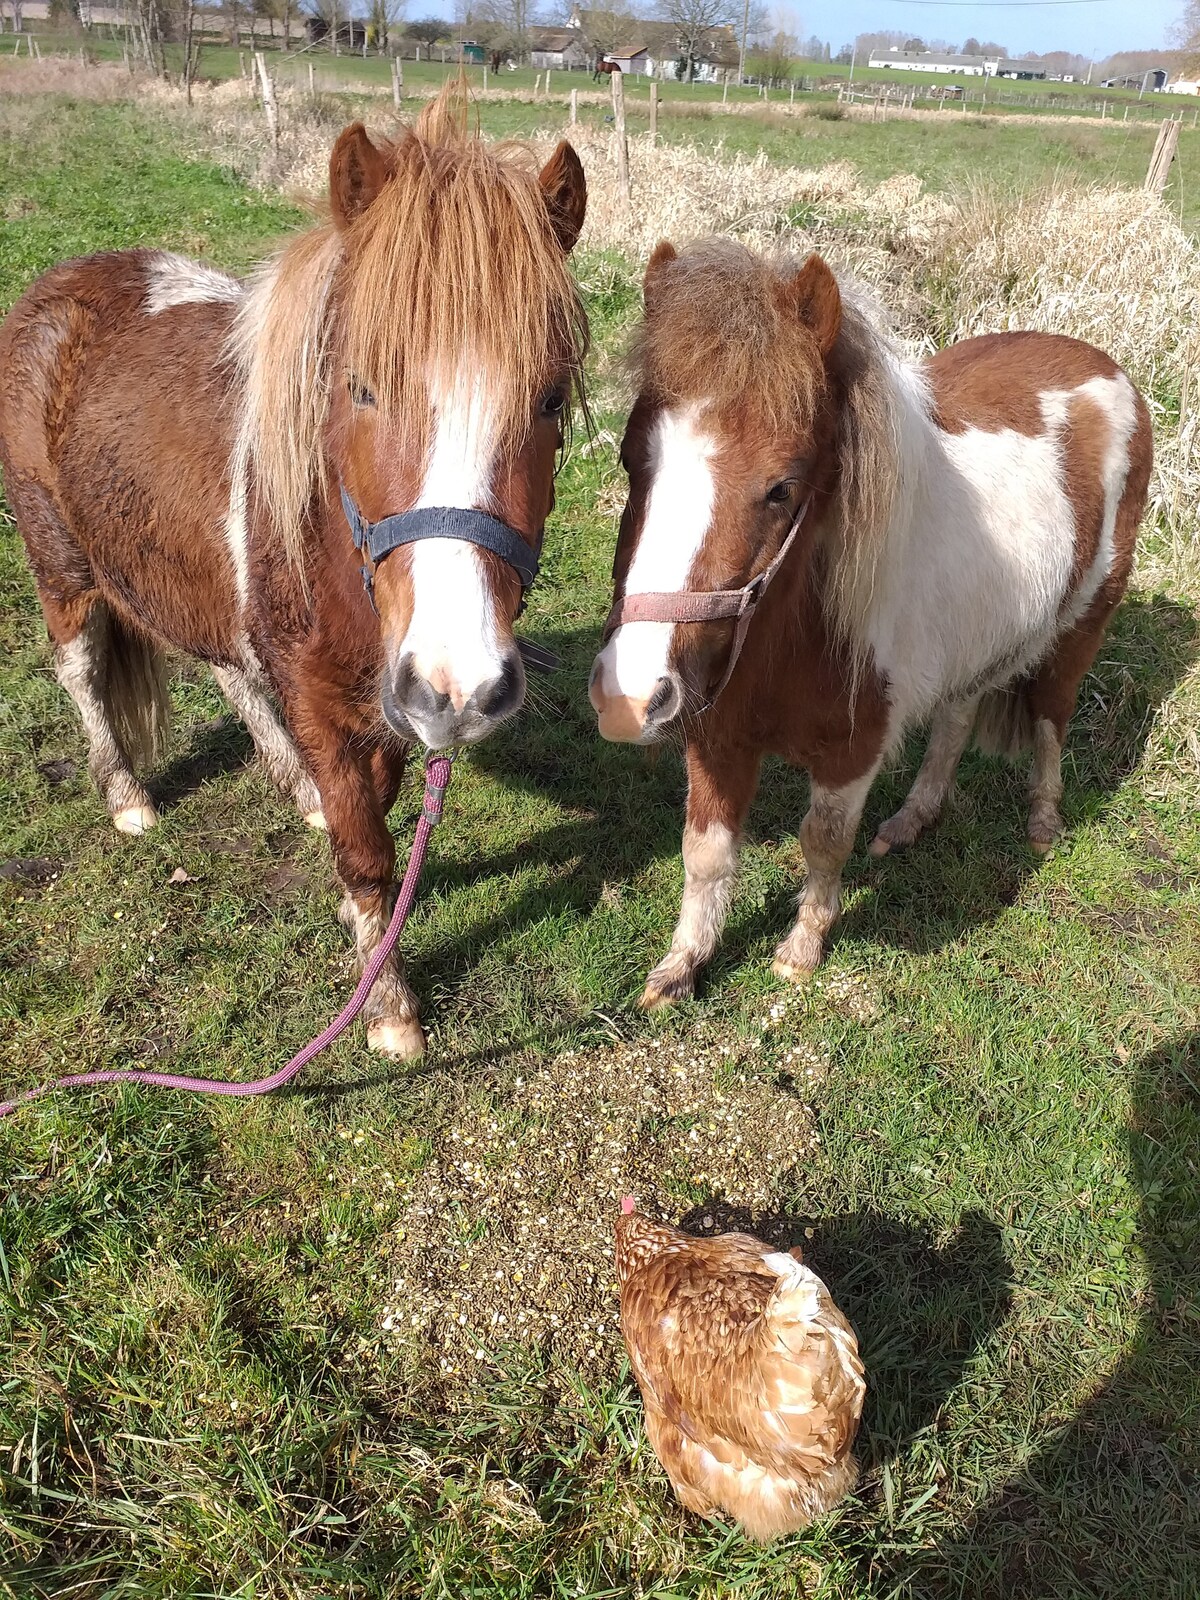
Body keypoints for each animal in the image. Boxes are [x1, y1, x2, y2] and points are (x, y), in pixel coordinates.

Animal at [1, 87, 592, 1062]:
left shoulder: (382, 700)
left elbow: (373, 804)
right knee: (82, 669)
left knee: (224, 664)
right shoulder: (323, 691)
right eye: (360, 387)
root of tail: (58, 286)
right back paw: (126, 797)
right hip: (62, 563)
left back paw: (289, 780)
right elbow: (366, 849)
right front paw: (386, 1001)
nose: (461, 684)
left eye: (548, 400)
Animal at [592, 236, 1158, 1004]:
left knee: (1050, 714)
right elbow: (705, 854)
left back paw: (1043, 818)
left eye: (782, 488)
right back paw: (912, 820)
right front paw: (682, 966)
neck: (792, 631)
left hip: (1084, 625)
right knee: (956, 719)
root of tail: (1105, 368)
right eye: (631, 459)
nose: (627, 699)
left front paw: (800, 950)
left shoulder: (851, 750)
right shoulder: (716, 736)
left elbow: (823, 840)